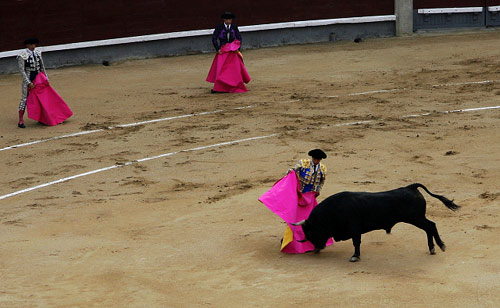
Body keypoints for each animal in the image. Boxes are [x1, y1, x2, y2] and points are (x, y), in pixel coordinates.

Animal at [292, 183, 460, 262]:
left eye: (311, 232)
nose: (316, 249)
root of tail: (411, 186)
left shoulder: (354, 228)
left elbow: (356, 242)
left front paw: (355, 256)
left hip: (415, 218)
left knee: (431, 226)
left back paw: (441, 246)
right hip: (417, 218)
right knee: (428, 228)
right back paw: (432, 248)